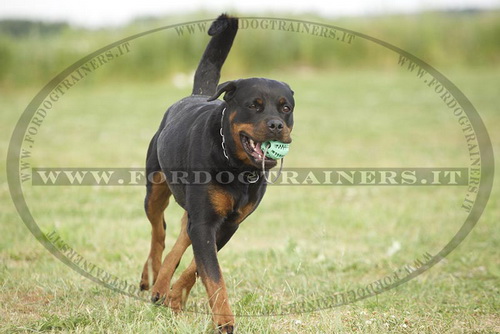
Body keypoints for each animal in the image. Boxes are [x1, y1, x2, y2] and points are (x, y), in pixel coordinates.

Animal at [139, 13, 294, 332]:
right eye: (254, 106)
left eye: (285, 108)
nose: (276, 125)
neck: (236, 167)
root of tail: (194, 95)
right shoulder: (205, 222)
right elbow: (213, 274)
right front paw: (224, 321)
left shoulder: (228, 223)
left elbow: (199, 268)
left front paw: (177, 297)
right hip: (155, 188)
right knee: (158, 230)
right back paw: (153, 278)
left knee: (179, 236)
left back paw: (163, 287)